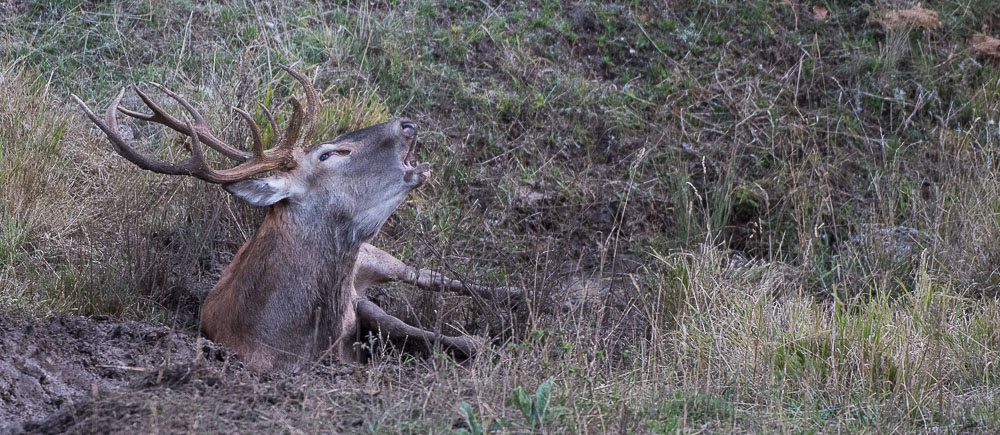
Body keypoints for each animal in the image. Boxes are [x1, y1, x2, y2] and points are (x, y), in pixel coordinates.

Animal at [72, 67, 521, 372]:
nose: (407, 123)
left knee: (430, 275)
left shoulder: (358, 305)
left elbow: (426, 333)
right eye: (327, 154)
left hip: (378, 257)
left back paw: (517, 294)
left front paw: (481, 340)